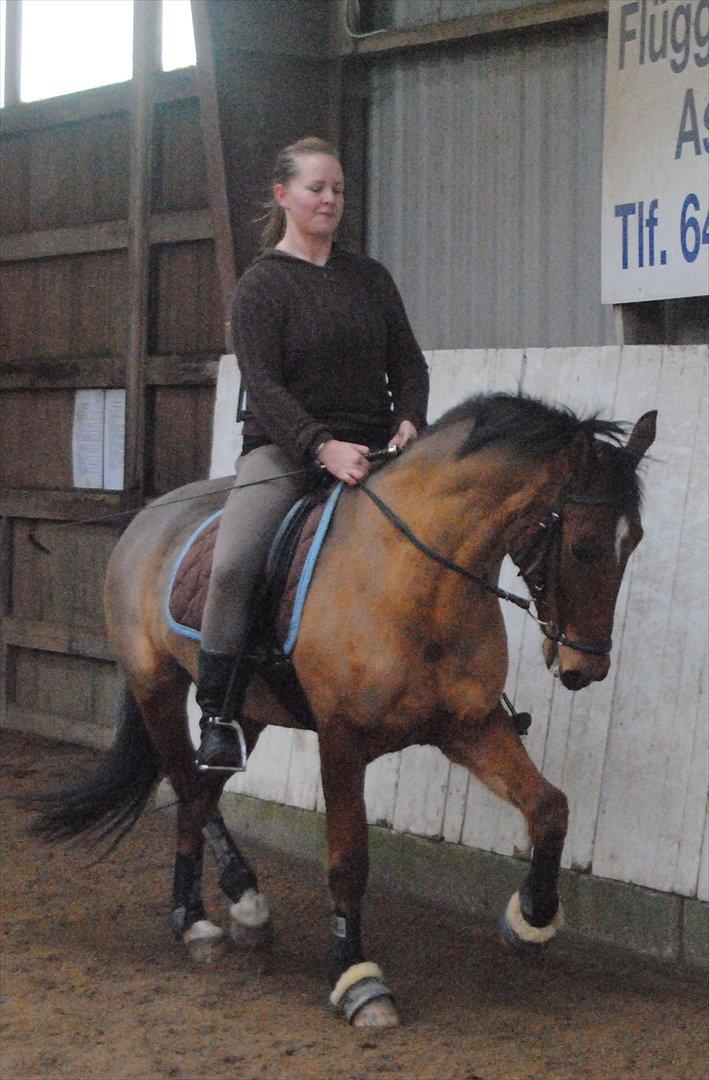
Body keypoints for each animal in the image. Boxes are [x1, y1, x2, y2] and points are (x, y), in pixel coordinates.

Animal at [31, 395, 652, 1028]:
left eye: (634, 542)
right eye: (582, 546)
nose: (585, 668)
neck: (419, 579)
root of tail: (149, 516)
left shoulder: (471, 727)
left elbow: (550, 807)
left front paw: (530, 918)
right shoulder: (341, 739)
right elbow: (349, 858)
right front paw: (357, 978)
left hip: (246, 711)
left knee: (201, 788)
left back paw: (224, 911)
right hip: (156, 687)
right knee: (186, 787)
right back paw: (212, 914)